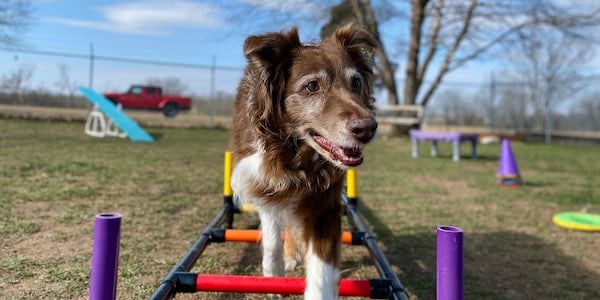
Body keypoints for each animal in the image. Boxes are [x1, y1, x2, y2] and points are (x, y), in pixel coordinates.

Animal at [232, 24, 378, 298]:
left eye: (356, 82)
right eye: (312, 86)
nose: (368, 129)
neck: (295, 152)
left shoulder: (324, 201)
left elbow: (322, 270)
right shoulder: (265, 183)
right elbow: (271, 240)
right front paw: (273, 277)